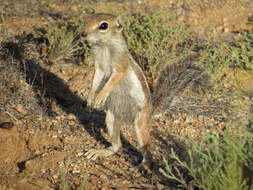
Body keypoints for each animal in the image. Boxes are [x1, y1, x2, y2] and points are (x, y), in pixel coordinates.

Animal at [82, 12, 210, 166]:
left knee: (148, 148)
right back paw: (101, 152)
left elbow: (113, 80)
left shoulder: (121, 65)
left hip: (140, 123)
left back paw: (143, 165)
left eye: (103, 25)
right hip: (111, 118)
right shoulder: (99, 68)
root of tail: (150, 111)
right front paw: (90, 98)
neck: (104, 45)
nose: (83, 33)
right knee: (117, 146)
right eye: (87, 19)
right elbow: (95, 81)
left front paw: (101, 96)